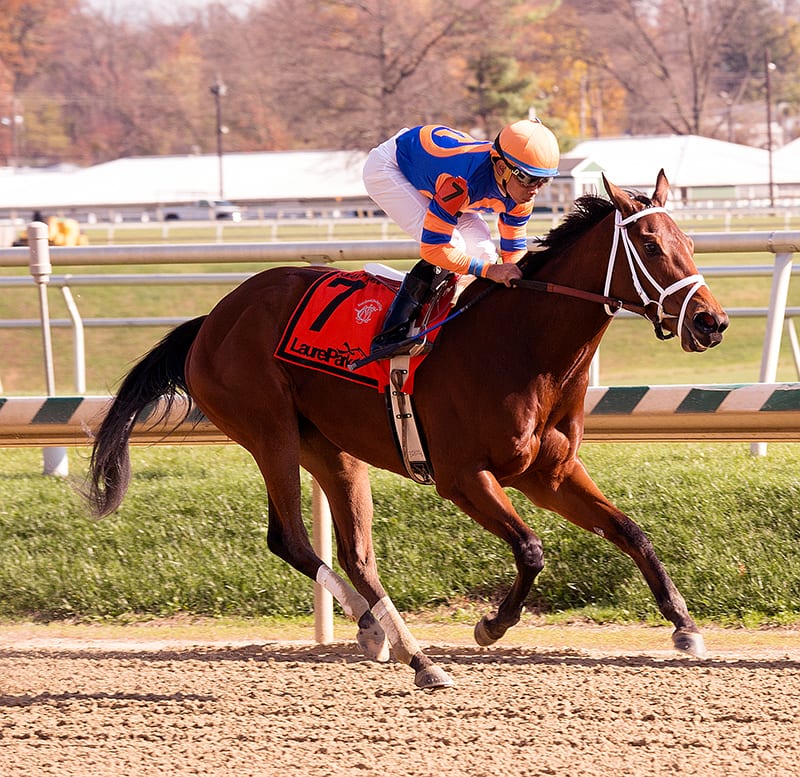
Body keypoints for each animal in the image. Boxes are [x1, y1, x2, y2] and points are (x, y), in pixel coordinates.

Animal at [84, 173, 728, 688]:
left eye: (690, 243)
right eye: (650, 244)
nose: (712, 321)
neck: (523, 346)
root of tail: (212, 319)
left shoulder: (550, 473)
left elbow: (630, 531)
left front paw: (684, 625)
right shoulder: (464, 477)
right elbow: (531, 548)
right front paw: (491, 624)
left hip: (332, 450)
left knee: (357, 554)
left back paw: (401, 647)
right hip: (270, 433)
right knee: (289, 539)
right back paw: (389, 640)